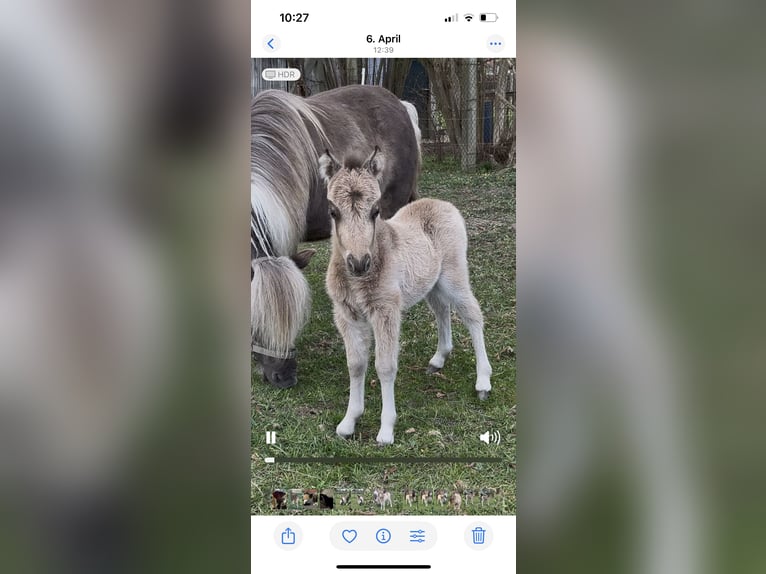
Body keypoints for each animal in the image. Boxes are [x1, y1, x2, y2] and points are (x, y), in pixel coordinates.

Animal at [320, 147, 492, 445]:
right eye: (333, 212)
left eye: (376, 210)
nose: (359, 263)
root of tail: (444, 204)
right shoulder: (346, 314)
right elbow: (356, 364)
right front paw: (348, 422)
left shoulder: (386, 310)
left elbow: (385, 366)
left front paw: (386, 429)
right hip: (432, 284)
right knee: (441, 310)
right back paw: (439, 358)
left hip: (454, 276)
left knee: (472, 315)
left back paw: (483, 381)